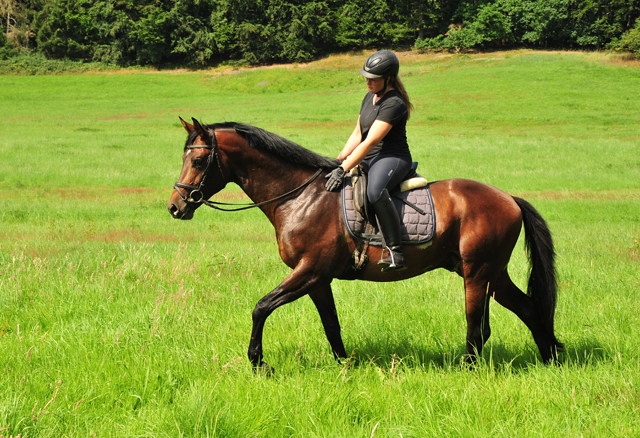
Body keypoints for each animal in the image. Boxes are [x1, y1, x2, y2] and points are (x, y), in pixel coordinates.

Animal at [168, 117, 564, 372]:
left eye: (199, 160)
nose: (175, 207)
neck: (300, 197)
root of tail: (509, 198)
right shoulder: (317, 279)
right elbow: (331, 323)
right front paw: (345, 365)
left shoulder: (310, 271)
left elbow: (261, 307)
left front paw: (258, 362)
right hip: (491, 274)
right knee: (529, 310)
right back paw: (551, 359)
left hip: (478, 273)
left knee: (477, 325)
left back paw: (469, 367)